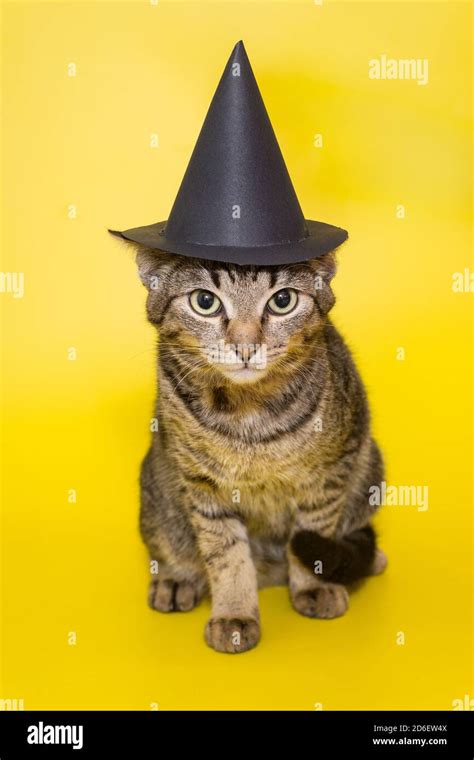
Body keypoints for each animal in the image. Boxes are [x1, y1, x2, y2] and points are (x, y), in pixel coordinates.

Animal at [128, 243, 386, 652]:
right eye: (205, 302)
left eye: (283, 301)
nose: (246, 346)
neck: (248, 415)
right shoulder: (203, 485)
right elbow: (226, 554)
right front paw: (234, 613)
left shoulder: (331, 470)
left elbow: (313, 529)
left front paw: (312, 586)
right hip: (155, 495)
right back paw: (176, 579)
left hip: (370, 468)